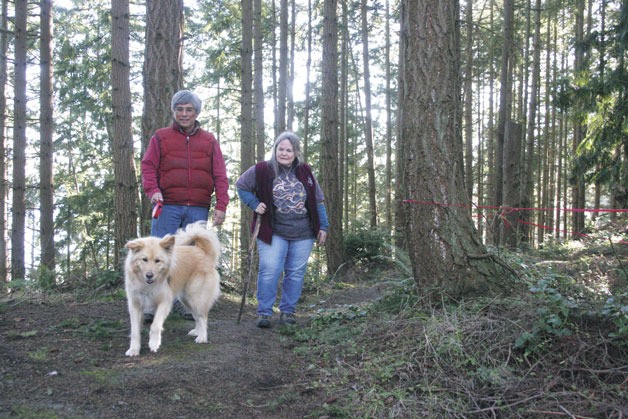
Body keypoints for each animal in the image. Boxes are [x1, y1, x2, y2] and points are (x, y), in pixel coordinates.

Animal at [122, 221, 221, 356]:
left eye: (157, 261)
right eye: (144, 259)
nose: (149, 275)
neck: (147, 285)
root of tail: (202, 251)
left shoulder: (164, 302)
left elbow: (155, 325)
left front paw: (154, 343)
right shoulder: (135, 305)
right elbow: (135, 331)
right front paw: (134, 349)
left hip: (195, 297)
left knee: (203, 317)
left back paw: (202, 337)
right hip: (186, 299)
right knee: (196, 316)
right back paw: (197, 331)